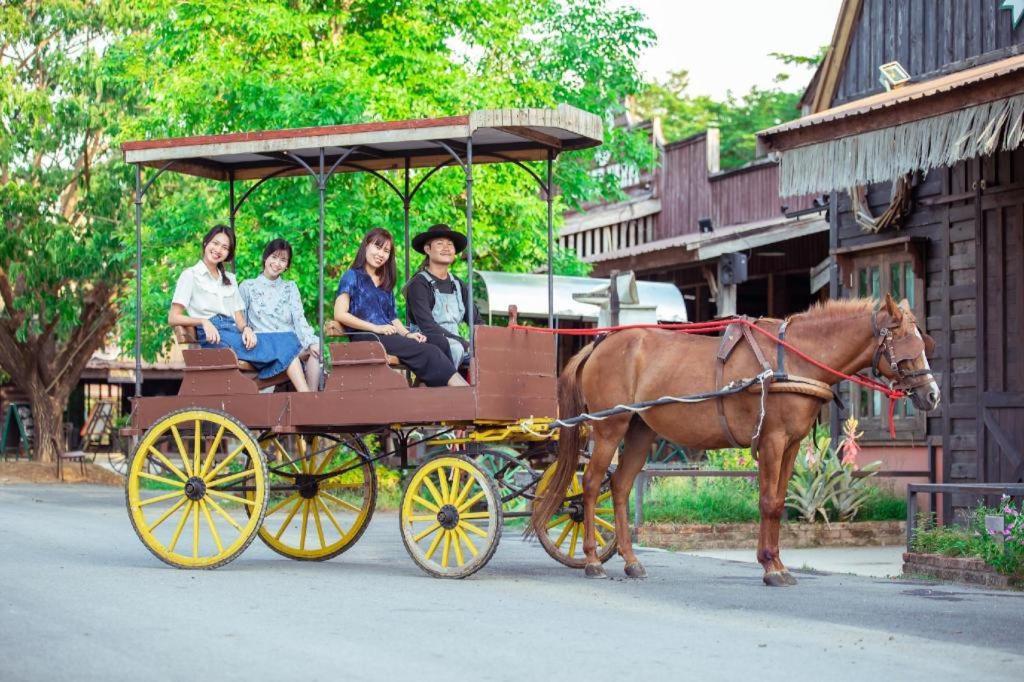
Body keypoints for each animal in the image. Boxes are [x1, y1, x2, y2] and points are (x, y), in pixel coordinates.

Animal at [532, 292, 937, 585]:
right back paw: (591, 559)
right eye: (904, 342)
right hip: (609, 427)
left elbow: (776, 501)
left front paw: (775, 562)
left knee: (619, 486)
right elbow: (770, 503)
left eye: (922, 341)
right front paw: (771, 567)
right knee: (590, 484)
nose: (932, 395)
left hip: (640, 431)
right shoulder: (772, 439)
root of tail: (599, 344)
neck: (792, 358)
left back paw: (631, 562)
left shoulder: (791, 445)